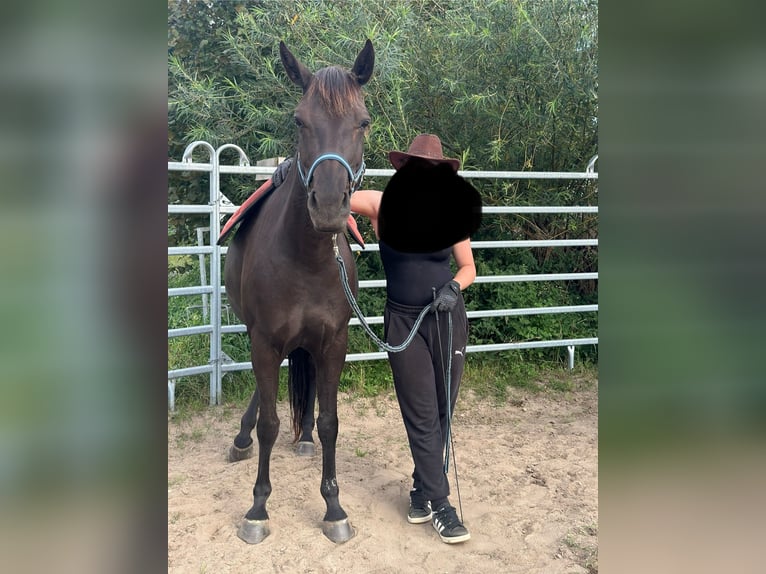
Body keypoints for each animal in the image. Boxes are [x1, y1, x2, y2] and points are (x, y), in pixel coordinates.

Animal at [223, 39, 374, 545]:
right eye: (298, 120)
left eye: (363, 121)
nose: (327, 206)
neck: (306, 259)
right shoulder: (265, 340)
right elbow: (270, 423)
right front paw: (257, 509)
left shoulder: (334, 343)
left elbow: (330, 422)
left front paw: (334, 507)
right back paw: (241, 438)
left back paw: (302, 437)